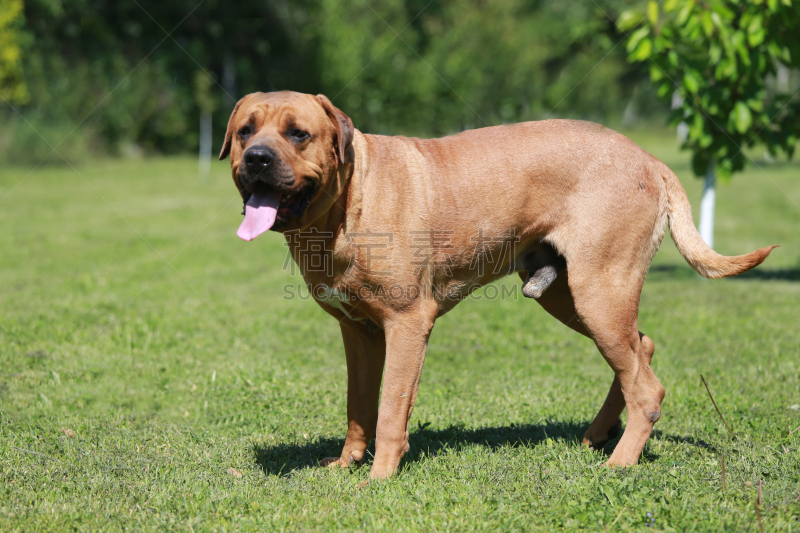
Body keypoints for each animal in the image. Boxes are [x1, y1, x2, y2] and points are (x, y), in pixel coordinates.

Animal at [219, 91, 776, 478]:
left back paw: (618, 463)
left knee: (647, 386)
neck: (345, 205)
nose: (258, 158)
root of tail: (650, 160)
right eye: (246, 131)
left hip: (599, 290)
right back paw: (598, 436)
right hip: (568, 296)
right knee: (642, 350)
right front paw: (346, 465)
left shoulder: (406, 324)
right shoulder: (358, 332)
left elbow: (391, 408)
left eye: (298, 134)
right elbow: (359, 406)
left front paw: (378, 477)